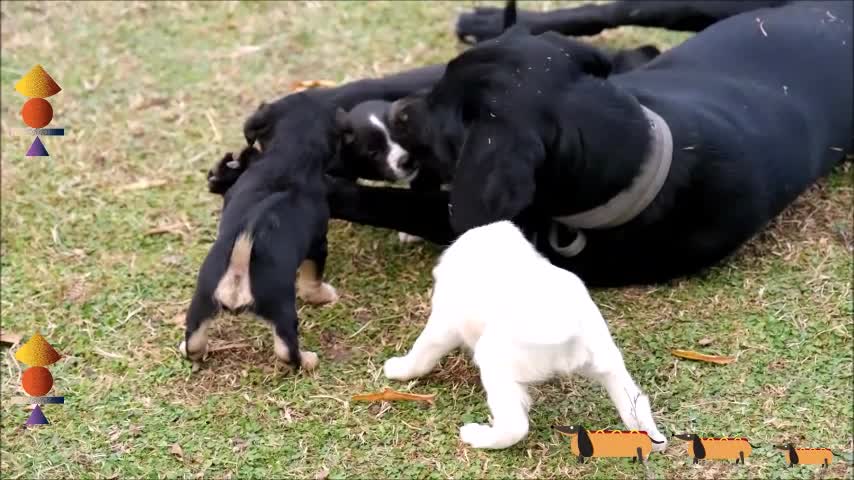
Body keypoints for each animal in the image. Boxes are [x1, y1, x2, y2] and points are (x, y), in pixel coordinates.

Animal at [181, 93, 344, 372]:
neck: (288, 155)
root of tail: (239, 268)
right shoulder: (318, 244)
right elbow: (312, 280)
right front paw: (323, 295)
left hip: (202, 301)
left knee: (193, 340)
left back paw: (188, 349)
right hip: (281, 310)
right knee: (286, 350)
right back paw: (308, 360)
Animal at [328, 0, 848, 284]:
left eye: (445, 119)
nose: (398, 112)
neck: (641, 155)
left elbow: (378, 202)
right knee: (607, 12)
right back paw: (487, 20)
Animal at [382, 221, 668, 450]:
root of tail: (562, 321)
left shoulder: (444, 324)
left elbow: (422, 352)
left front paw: (398, 369)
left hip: (494, 362)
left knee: (514, 426)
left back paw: (480, 437)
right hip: (609, 364)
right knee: (637, 406)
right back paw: (654, 442)